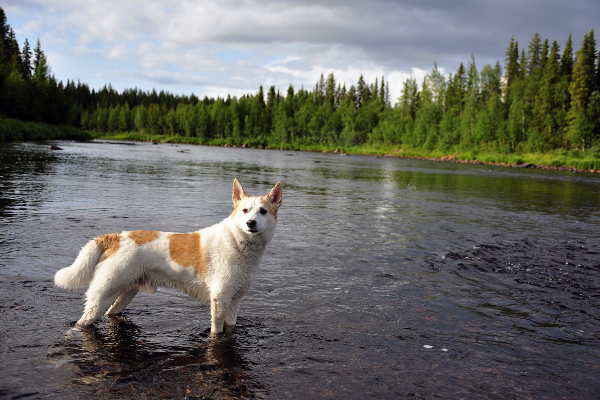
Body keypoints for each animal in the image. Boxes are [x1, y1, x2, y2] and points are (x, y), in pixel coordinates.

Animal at [55, 179, 282, 334]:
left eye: (263, 211)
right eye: (244, 210)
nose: (250, 223)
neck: (238, 242)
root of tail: (116, 237)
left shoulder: (235, 300)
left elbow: (231, 327)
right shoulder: (220, 299)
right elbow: (217, 332)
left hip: (125, 292)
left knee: (111, 313)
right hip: (102, 295)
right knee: (82, 322)